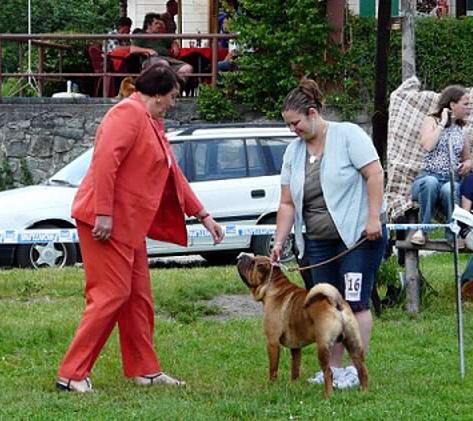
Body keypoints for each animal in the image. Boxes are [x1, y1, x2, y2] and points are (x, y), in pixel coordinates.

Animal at [238, 253, 366, 398]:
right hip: (353, 343)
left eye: (253, 263)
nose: (241, 256)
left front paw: (271, 385)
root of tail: (336, 302)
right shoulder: (295, 347)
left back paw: (328, 396)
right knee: (361, 368)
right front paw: (294, 385)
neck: (274, 287)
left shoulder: (272, 342)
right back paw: (365, 391)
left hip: (323, 347)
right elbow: (295, 367)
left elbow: (273, 368)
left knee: (328, 372)